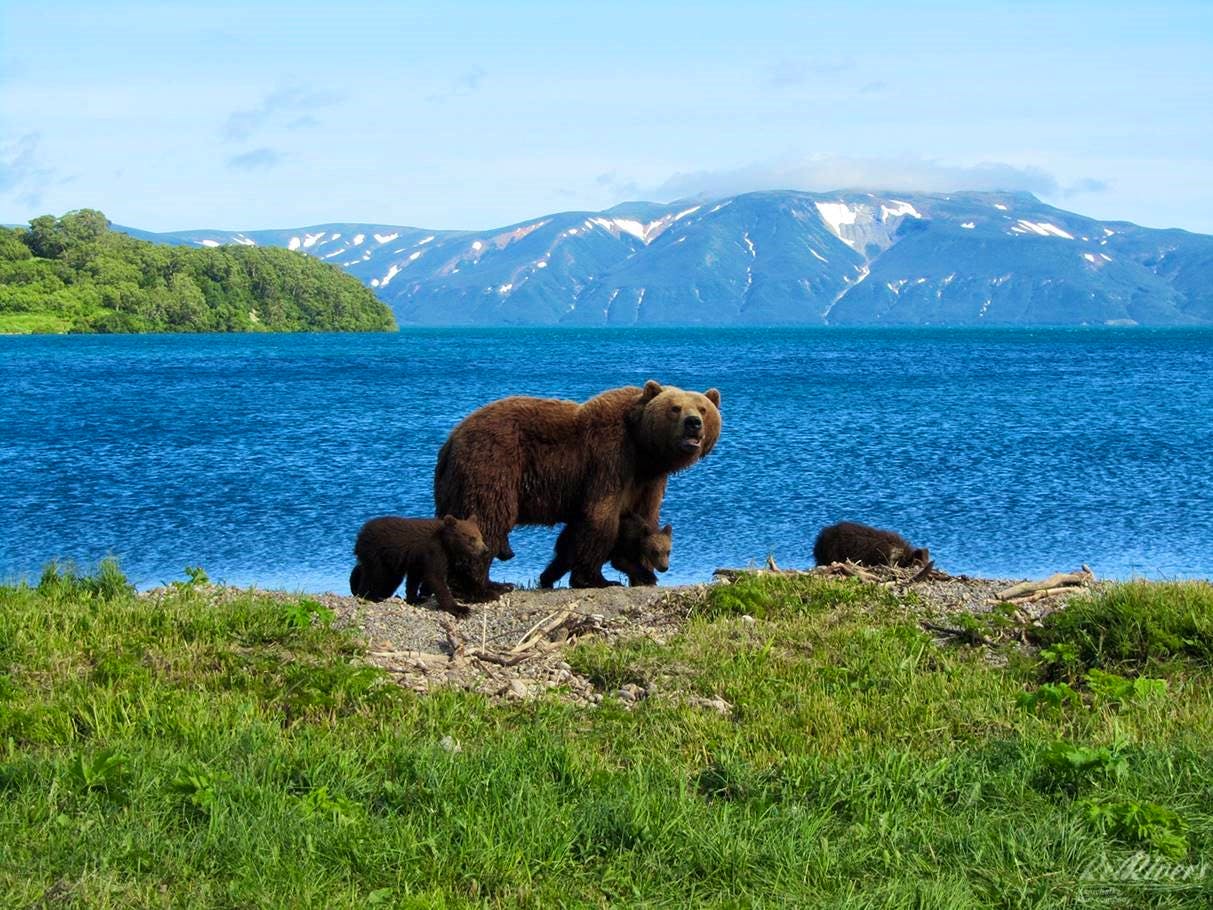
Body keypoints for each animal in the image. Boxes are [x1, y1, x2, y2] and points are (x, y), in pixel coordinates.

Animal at [436, 380, 718, 594]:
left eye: (703, 408)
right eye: (675, 408)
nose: (693, 422)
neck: (644, 451)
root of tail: (451, 438)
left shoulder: (648, 481)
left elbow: (642, 518)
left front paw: (641, 571)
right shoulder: (610, 460)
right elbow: (600, 517)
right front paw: (599, 579)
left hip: (453, 483)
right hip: (493, 463)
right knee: (487, 517)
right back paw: (485, 584)